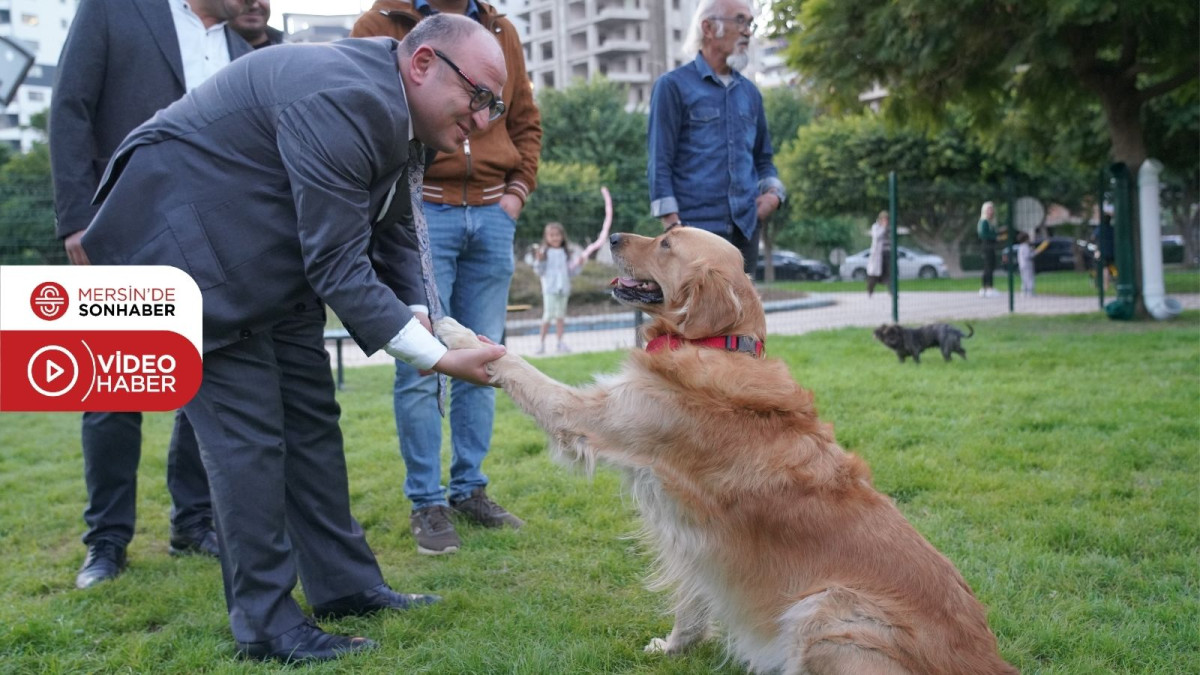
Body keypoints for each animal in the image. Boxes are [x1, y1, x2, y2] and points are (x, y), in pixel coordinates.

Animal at [436, 227, 1017, 672]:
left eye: (666, 243)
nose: (615, 237)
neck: (719, 344)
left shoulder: (591, 417)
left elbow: (514, 364)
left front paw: (456, 331)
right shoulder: (695, 538)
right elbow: (691, 605)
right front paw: (674, 647)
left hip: (829, 611)